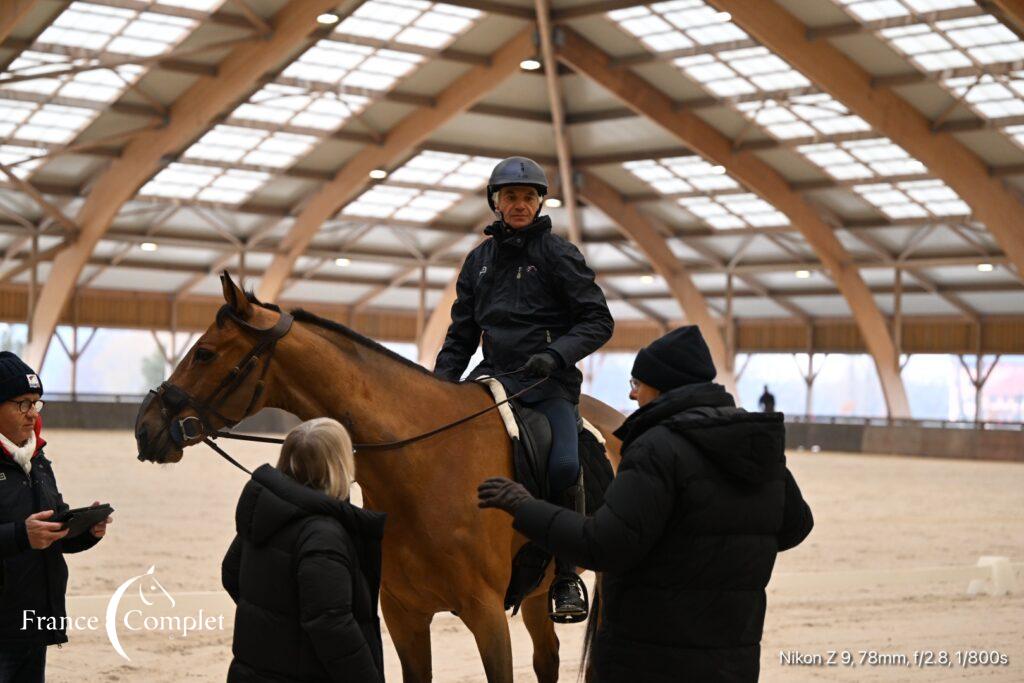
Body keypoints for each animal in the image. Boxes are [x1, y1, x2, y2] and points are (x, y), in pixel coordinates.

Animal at [131, 274, 618, 683]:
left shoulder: (487, 616)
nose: (145, 427)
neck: (427, 465)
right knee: (547, 658)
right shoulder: (405, 616)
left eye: (204, 353)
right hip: (536, 595)